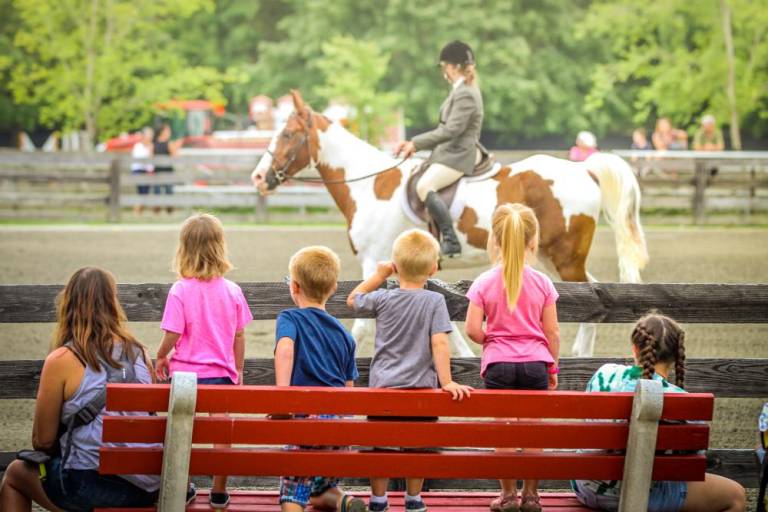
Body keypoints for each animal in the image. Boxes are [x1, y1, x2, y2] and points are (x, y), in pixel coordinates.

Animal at [252, 91, 648, 356]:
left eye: (287, 135)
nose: (258, 177)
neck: (371, 185)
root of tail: (583, 168)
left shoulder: (373, 260)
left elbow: (362, 325)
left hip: (565, 257)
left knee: (592, 294)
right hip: (553, 258)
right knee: (590, 292)